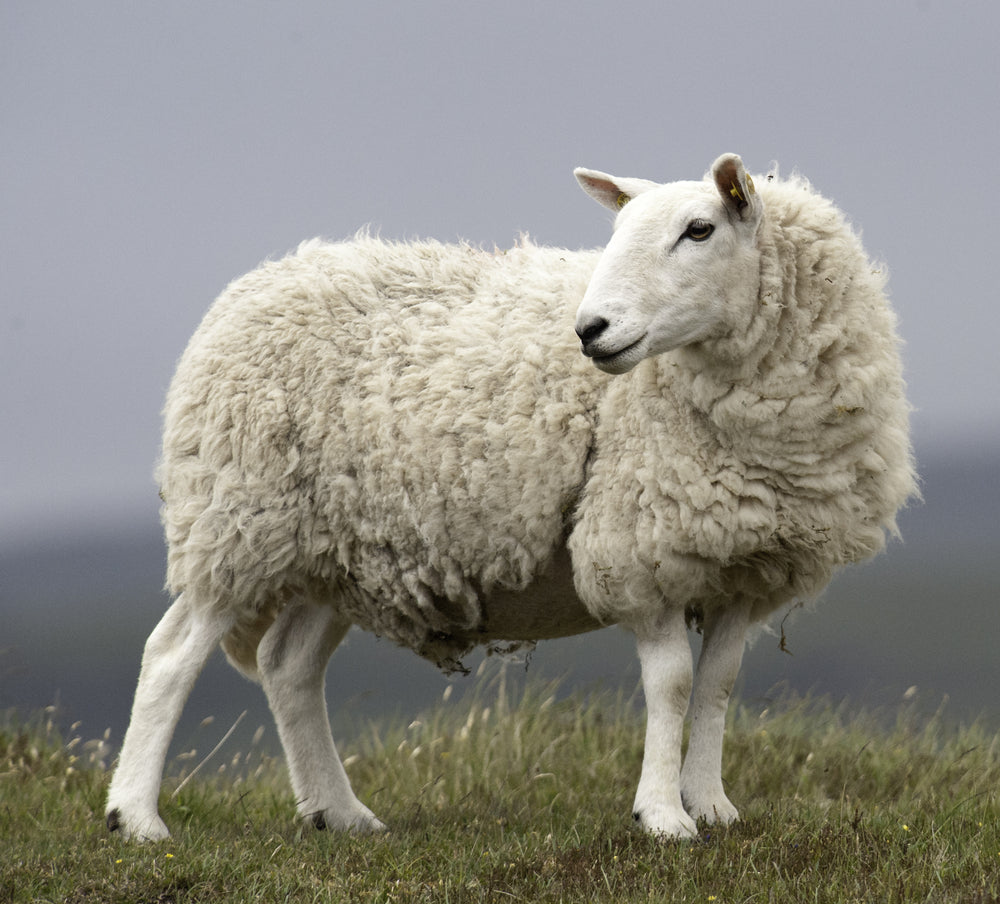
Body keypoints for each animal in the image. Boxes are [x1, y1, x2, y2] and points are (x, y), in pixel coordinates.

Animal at [105, 153, 916, 841]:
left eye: (699, 229)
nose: (591, 330)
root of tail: (256, 283)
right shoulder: (636, 547)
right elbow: (674, 684)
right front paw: (662, 816)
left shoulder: (745, 562)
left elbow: (717, 686)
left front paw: (712, 806)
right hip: (238, 516)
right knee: (170, 655)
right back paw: (137, 817)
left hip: (336, 549)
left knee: (288, 665)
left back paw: (340, 813)